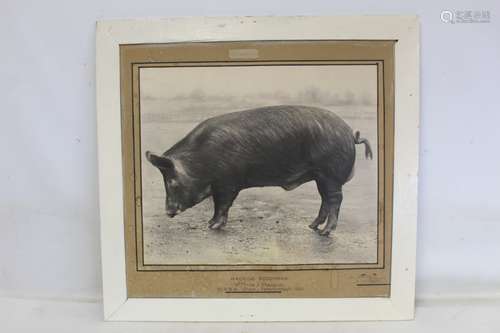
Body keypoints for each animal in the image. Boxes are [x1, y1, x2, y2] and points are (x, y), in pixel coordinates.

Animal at [145, 105, 372, 235]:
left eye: (172, 182)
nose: (168, 212)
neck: (200, 160)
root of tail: (350, 134)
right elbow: (220, 205)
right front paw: (210, 224)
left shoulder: (227, 183)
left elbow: (222, 205)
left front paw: (212, 226)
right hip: (321, 177)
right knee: (325, 201)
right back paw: (312, 227)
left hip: (330, 174)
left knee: (335, 200)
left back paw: (325, 232)